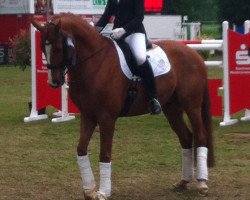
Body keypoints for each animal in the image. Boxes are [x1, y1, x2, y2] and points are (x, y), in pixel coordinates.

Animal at [31, 13, 215, 199]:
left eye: (58, 48)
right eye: (42, 48)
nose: (53, 82)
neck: (96, 62)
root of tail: (195, 55)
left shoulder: (107, 118)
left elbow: (104, 153)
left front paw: (103, 192)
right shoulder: (88, 115)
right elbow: (81, 149)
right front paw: (89, 190)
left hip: (191, 105)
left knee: (200, 136)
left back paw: (202, 184)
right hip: (172, 108)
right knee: (186, 137)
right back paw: (183, 182)